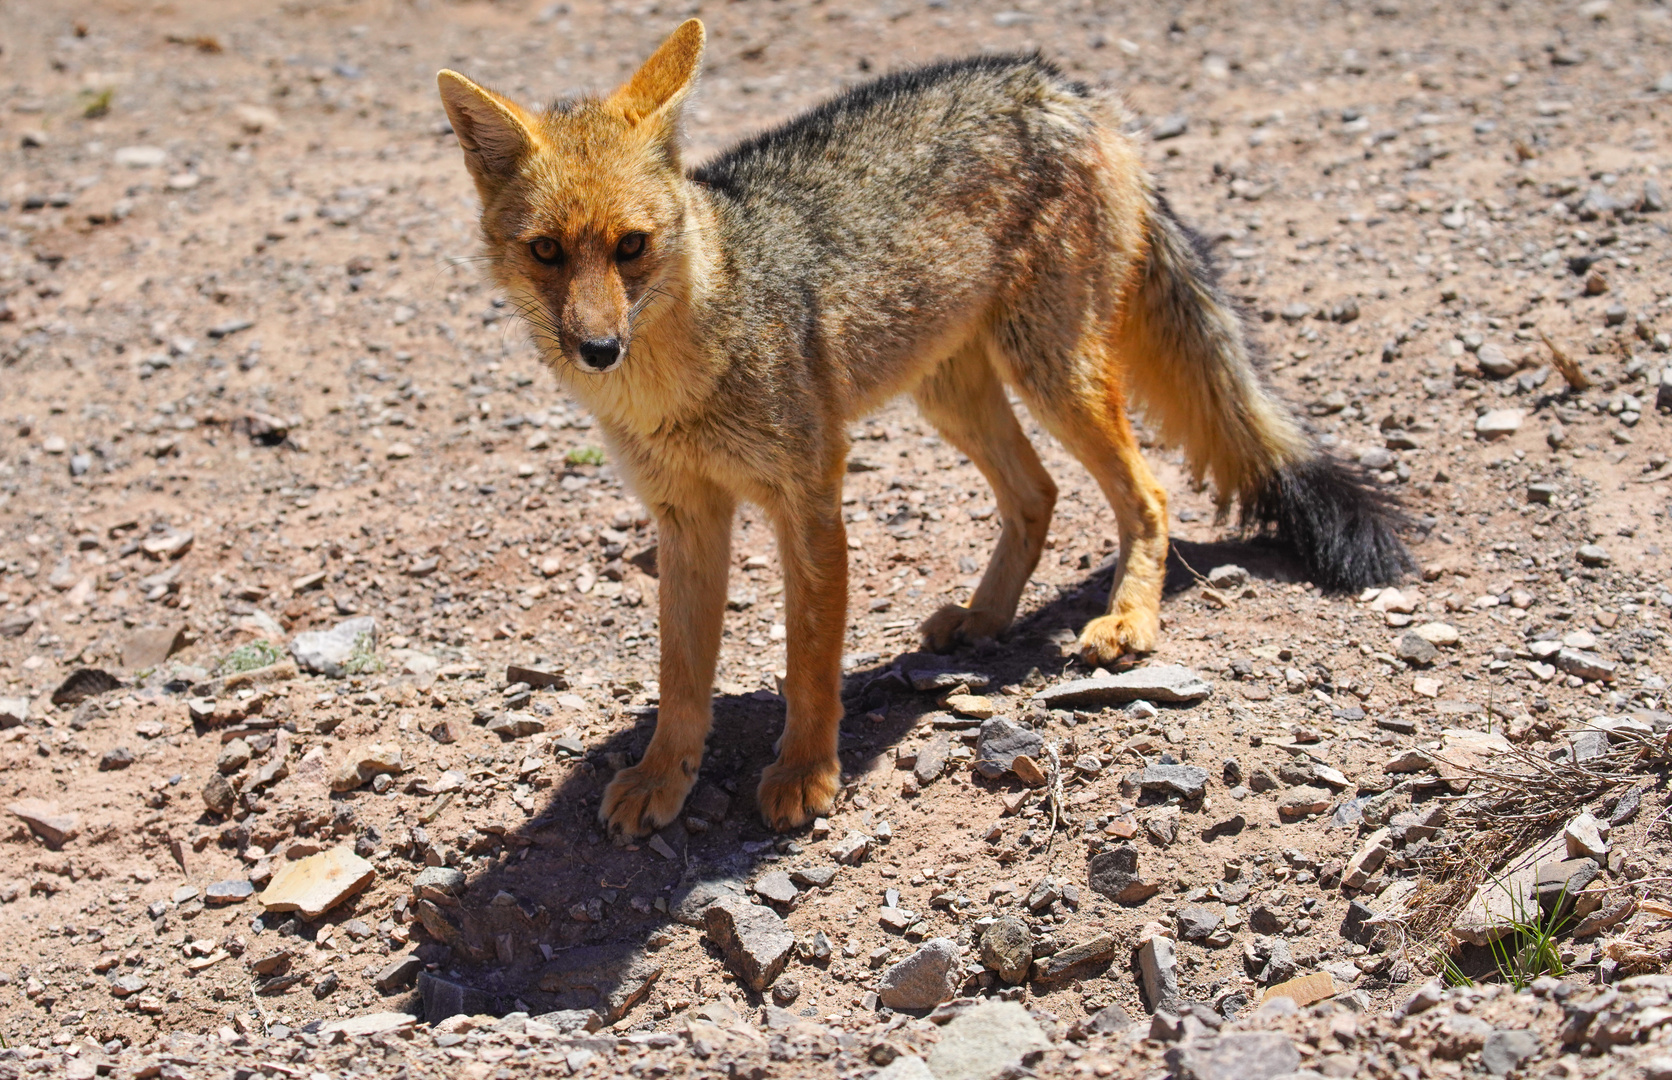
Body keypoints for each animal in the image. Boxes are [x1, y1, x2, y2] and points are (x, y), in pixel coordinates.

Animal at [434, 21, 1411, 842]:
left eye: (631, 247)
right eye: (547, 252)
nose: (598, 349)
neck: (677, 378)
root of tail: (1059, 84)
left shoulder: (809, 499)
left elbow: (809, 659)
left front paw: (805, 771)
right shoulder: (686, 518)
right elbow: (680, 675)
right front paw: (664, 777)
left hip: (1052, 376)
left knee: (1150, 491)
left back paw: (1129, 619)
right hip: (953, 393)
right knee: (1038, 493)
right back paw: (984, 617)